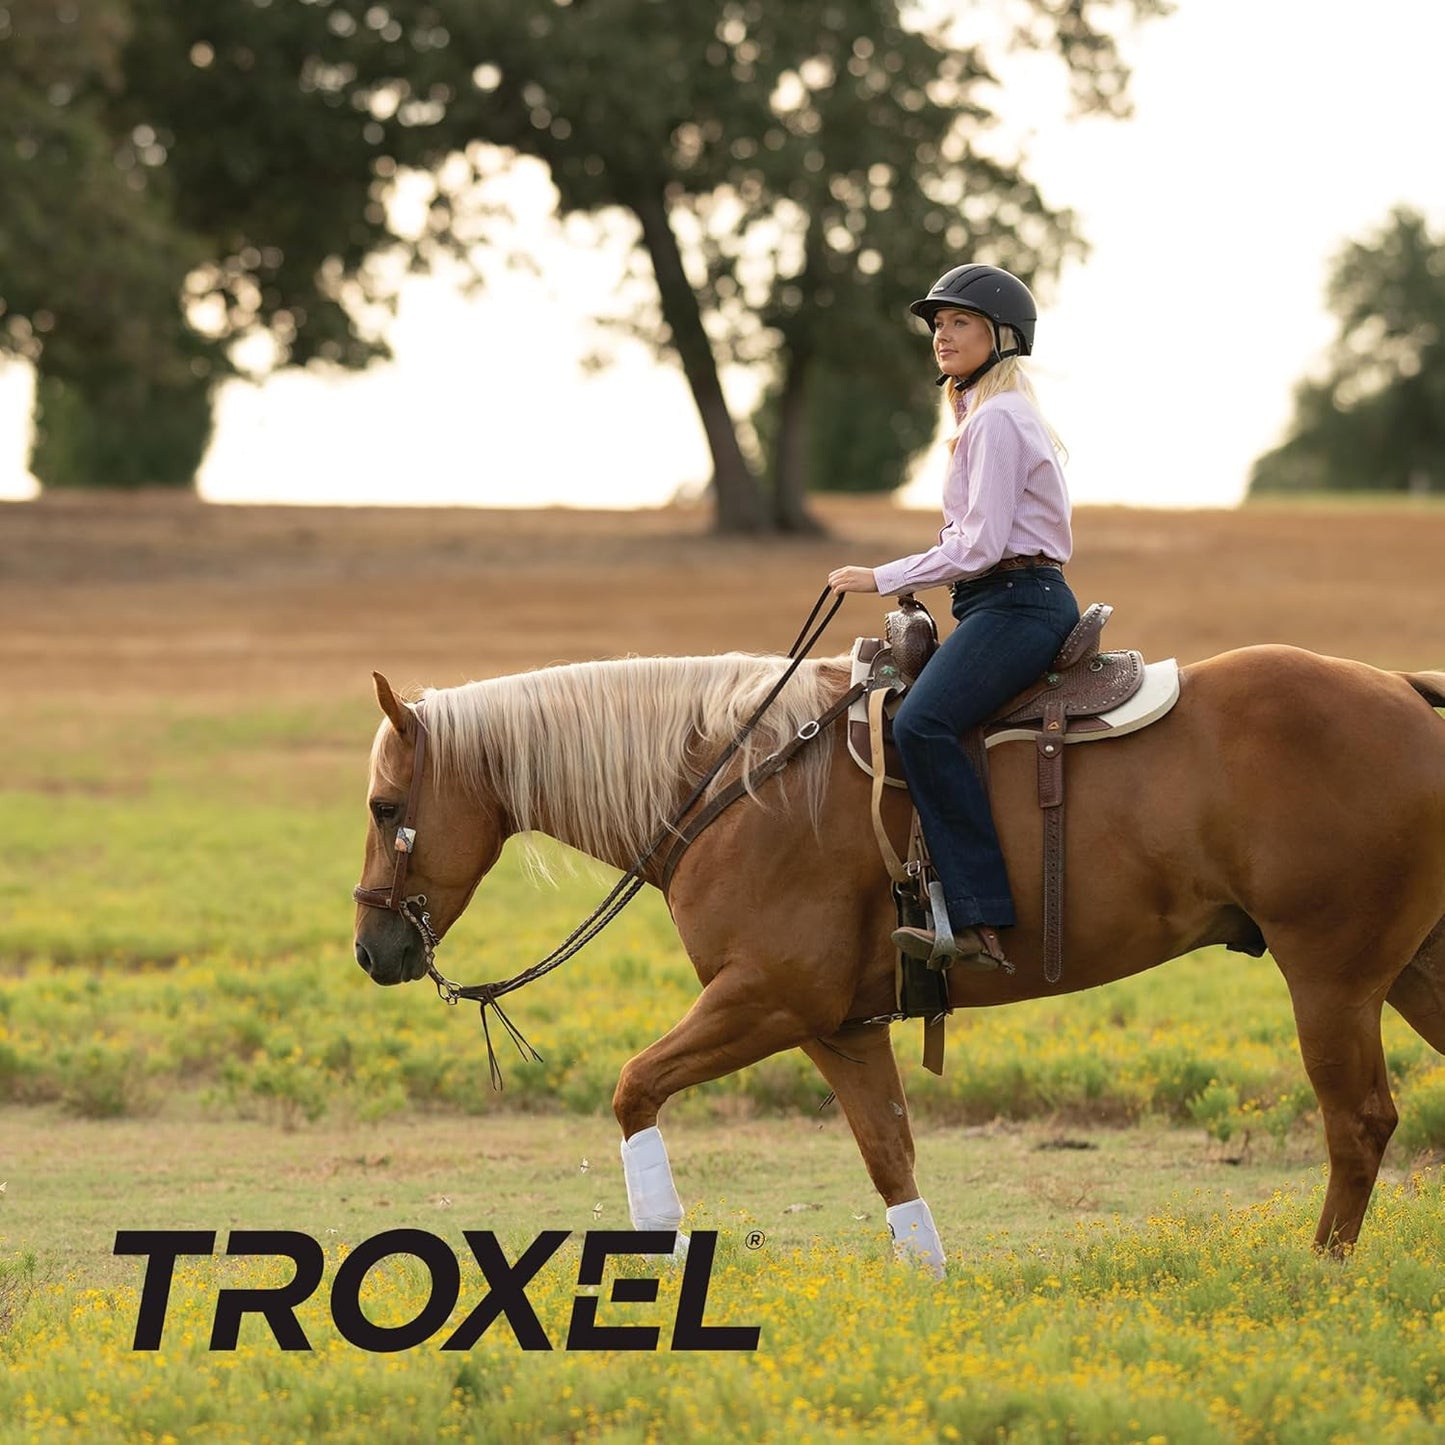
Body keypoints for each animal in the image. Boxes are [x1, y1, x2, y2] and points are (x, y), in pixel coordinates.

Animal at [352, 642, 1445, 1274]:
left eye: (382, 804)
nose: (371, 948)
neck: (738, 781)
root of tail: (1402, 687)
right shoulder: (840, 1026)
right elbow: (888, 1152)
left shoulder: (767, 1000)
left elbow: (632, 1088)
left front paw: (657, 1244)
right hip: (1411, 970)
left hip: (1331, 977)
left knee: (1357, 1123)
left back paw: (1319, 1274)